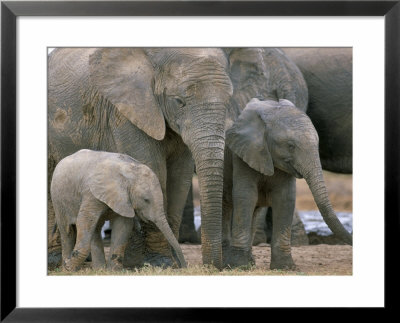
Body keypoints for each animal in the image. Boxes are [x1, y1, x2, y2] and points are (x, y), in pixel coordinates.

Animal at [50, 149, 187, 270]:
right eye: (146, 200)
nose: (184, 267)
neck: (129, 172)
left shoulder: (124, 199)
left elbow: (123, 225)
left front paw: (113, 271)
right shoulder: (91, 193)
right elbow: (84, 221)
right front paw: (69, 266)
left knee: (95, 228)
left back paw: (99, 270)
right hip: (58, 198)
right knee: (67, 230)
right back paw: (68, 268)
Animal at [223, 99, 352, 270]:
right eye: (291, 145)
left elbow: (285, 199)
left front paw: (285, 267)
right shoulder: (243, 154)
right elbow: (246, 196)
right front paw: (238, 266)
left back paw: (250, 263)